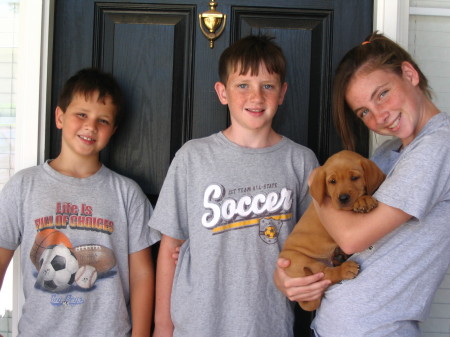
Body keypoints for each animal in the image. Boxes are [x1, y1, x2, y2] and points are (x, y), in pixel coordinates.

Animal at [280, 150, 384, 310]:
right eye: (332, 181)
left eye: (355, 178)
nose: (343, 198)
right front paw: (363, 201)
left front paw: (364, 199)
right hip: (301, 261)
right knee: (326, 275)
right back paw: (344, 268)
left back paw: (339, 256)